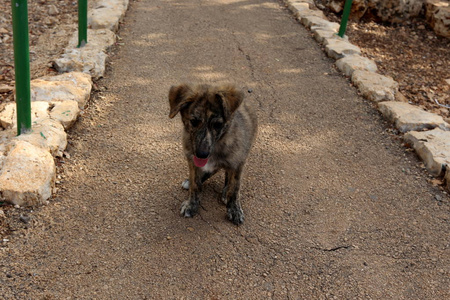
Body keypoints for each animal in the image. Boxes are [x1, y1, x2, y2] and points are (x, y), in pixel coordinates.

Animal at [168, 83, 256, 224]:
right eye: (194, 122)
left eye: (218, 125)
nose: (202, 154)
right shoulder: (192, 161)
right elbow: (195, 184)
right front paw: (191, 205)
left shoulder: (238, 163)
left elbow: (235, 188)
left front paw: (234, 209)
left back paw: (225, 192)